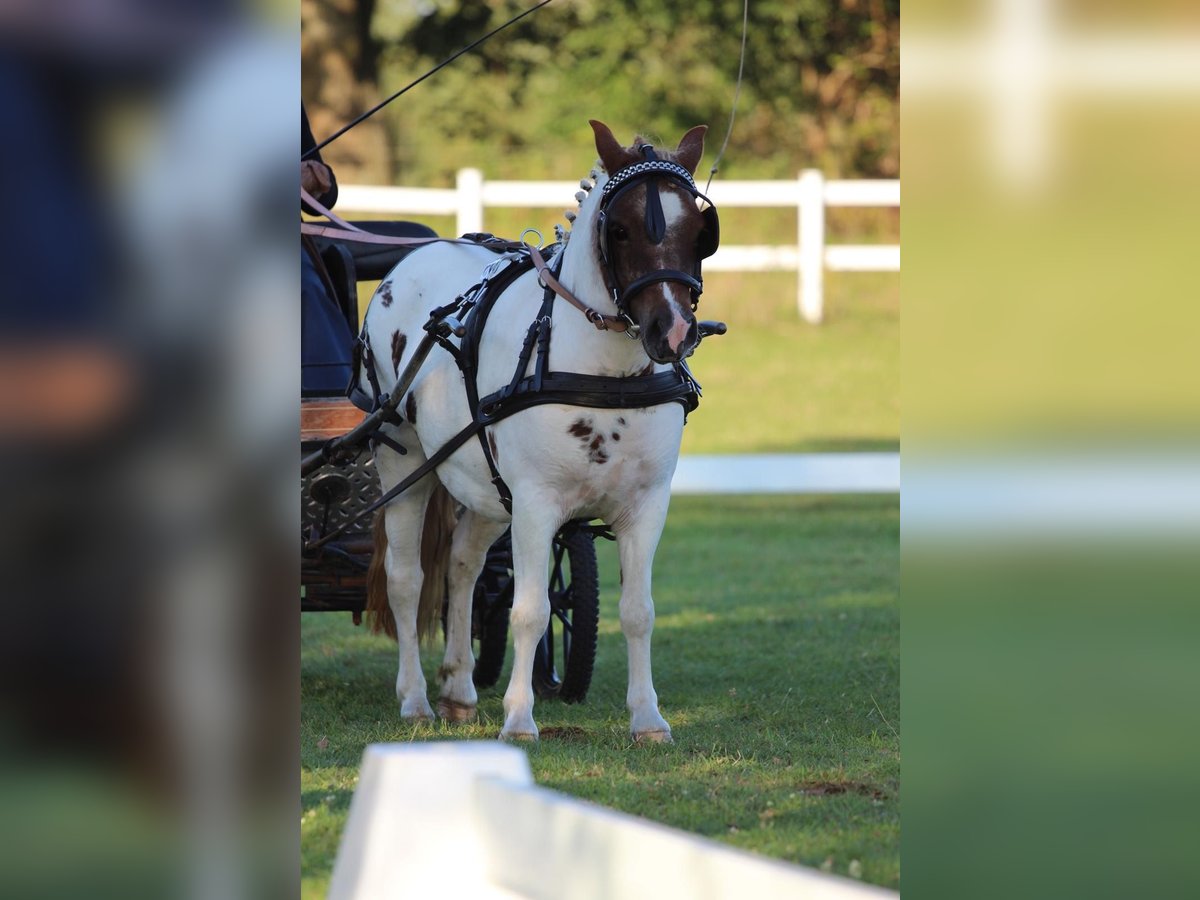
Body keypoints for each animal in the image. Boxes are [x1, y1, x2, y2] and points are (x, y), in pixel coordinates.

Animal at [352, 120, 710, 744]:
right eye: (619, 229)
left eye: (698, 229)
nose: (673, 332)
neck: (605, 373)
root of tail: (416, 256)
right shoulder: (538, 503)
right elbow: (530, 610)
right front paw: (520, 719)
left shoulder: (646, 505)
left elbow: (638, 611)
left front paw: (648, 719)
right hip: (404, 462)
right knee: (407, 579)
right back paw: (415, 698)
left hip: (490, 493)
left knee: (462, 567)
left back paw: (459, 687)